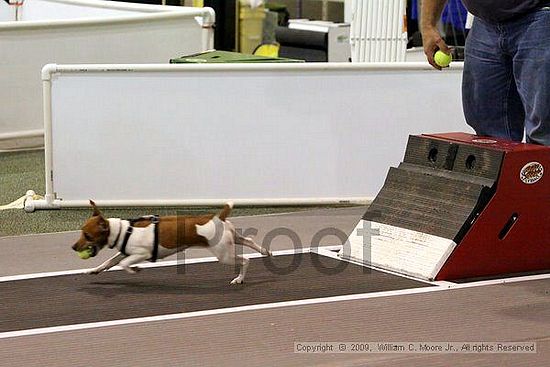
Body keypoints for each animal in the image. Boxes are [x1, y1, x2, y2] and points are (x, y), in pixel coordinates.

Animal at [73, 201, 272, 284]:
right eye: (82, 231)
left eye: (87, 235)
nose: (73, 247)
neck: (123, 230)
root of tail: (218, 217)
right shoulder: (123, 253)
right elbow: (109, 262)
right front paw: (93, 270)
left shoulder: (141, 254)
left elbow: (124, 264)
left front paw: (135, 269)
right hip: (232, 240)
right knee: (249, 240)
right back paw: (265, 251)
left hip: (224, 255)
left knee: (245, 260)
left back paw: (239, 278)